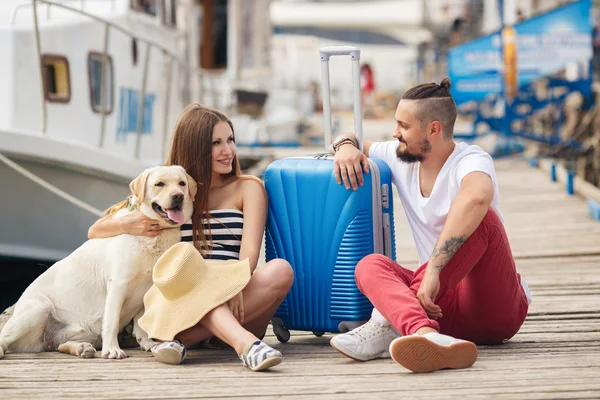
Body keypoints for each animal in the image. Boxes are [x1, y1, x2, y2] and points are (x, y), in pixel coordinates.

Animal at [0, 166, 196, 360]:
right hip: (39, 308)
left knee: (59, 345)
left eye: (181, 183)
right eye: (159, 184)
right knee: (5, 338)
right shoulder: (118, 285)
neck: (155, 237)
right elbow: (111, 321)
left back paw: (81, 348)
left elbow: (141, 323)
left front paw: (148, 343)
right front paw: (112, 349)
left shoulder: (147, 288)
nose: (178, 196)